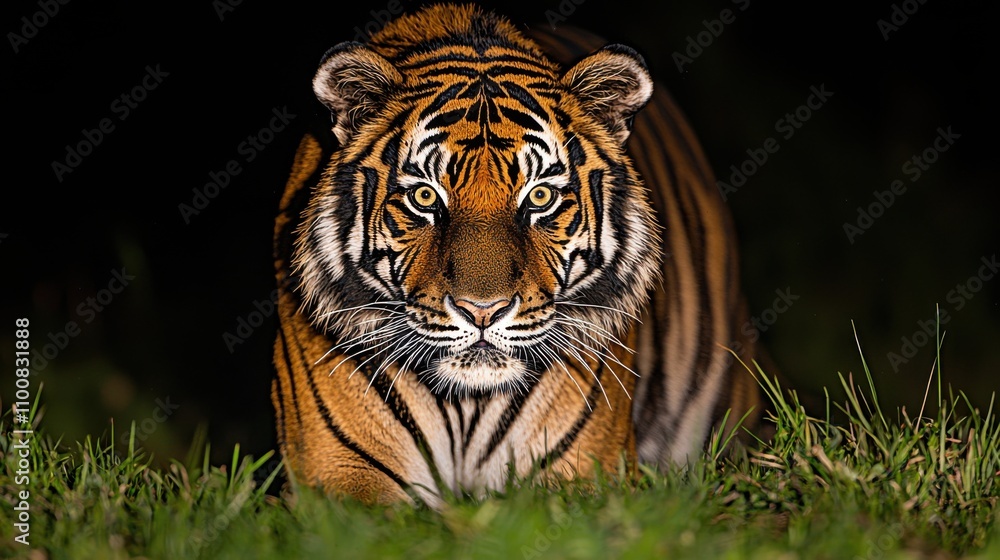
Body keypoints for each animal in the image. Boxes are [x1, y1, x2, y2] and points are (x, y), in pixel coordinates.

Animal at [271, 4, 766, 507]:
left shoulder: (582, 471)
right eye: (425, 197)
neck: (466, 406)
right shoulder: (337, 477)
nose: (482, 311)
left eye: (540, 196)